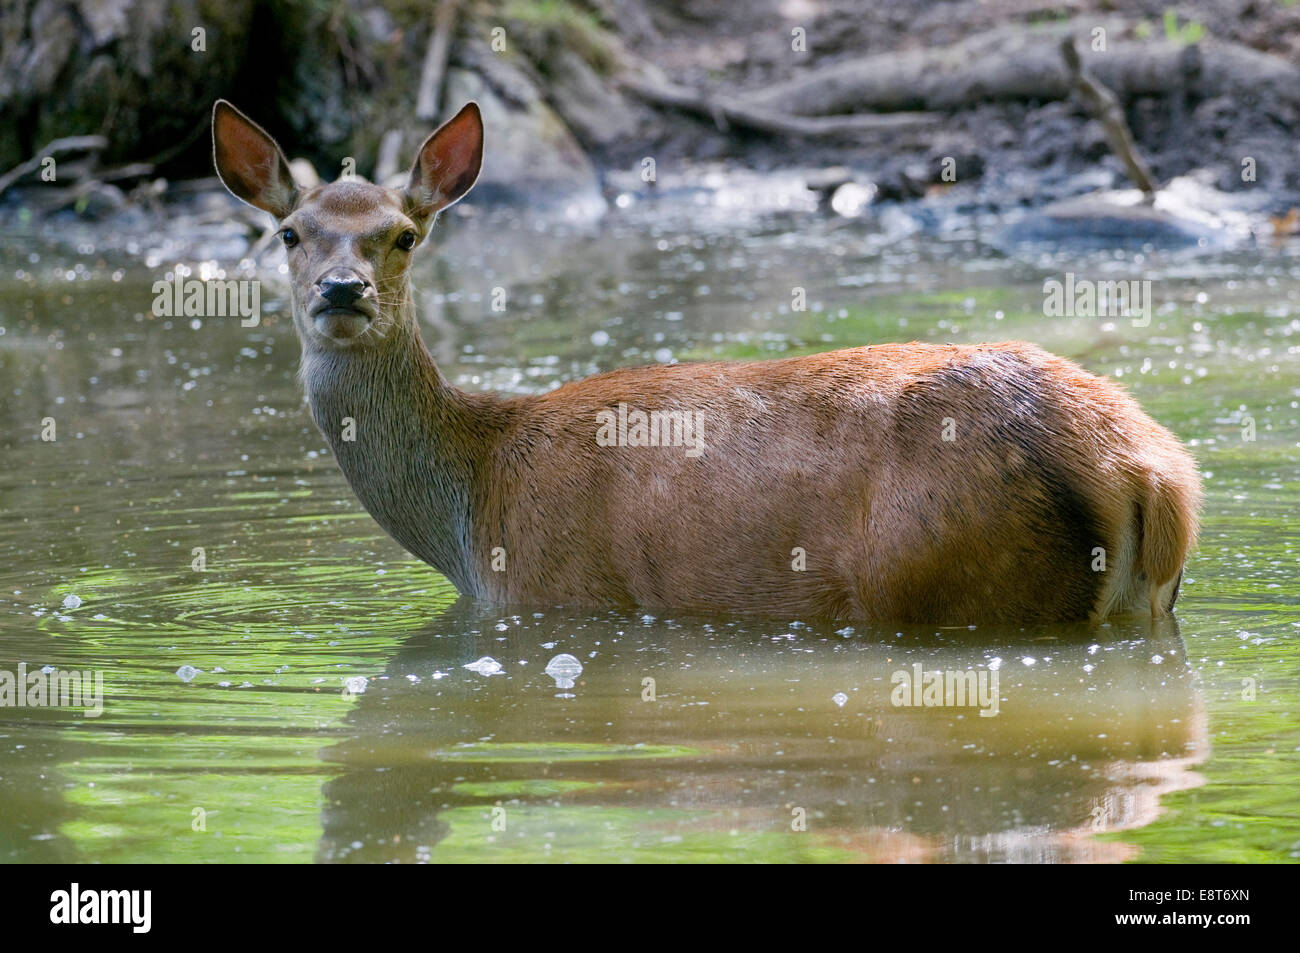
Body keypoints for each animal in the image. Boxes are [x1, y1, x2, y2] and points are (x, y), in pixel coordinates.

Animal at [210, 100, 1196, 624]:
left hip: (957, 581)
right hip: (1143, 606)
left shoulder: (560, 597)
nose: (342, 290)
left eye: (403, 235)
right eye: (289, 232)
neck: (471, 503)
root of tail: (1152, 472)